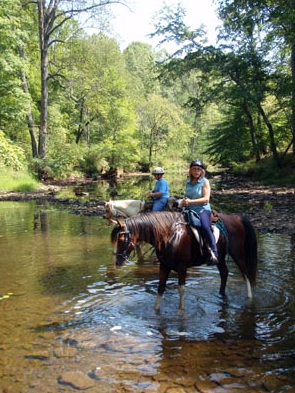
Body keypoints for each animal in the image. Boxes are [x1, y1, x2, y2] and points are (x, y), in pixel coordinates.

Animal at [111, 210, 260, 310]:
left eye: (122, 238)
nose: (118, 262)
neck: (169, 236)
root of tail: (237, 218)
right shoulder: (164, 266)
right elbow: (161, 288)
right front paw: (156, 310)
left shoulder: (182, 267)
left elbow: (181, 289)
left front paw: (181, 312)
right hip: (221, 258)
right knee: (224, 273)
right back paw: (221, 294)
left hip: (238, 254)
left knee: (245, 273)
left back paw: (249, 298)